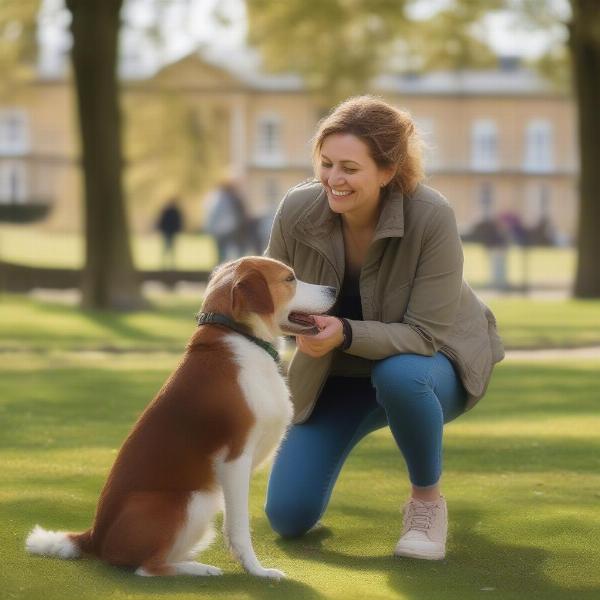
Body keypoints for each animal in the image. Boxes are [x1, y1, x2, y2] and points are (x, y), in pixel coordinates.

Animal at [25, 258, 338, 580]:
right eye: (290, 278)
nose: (333, 288)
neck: (243, 337)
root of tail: (93, 536)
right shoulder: (235, 460)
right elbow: (239, 527)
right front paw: (256, 570)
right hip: (194, 500)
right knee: (147, 568)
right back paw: (197, 568)